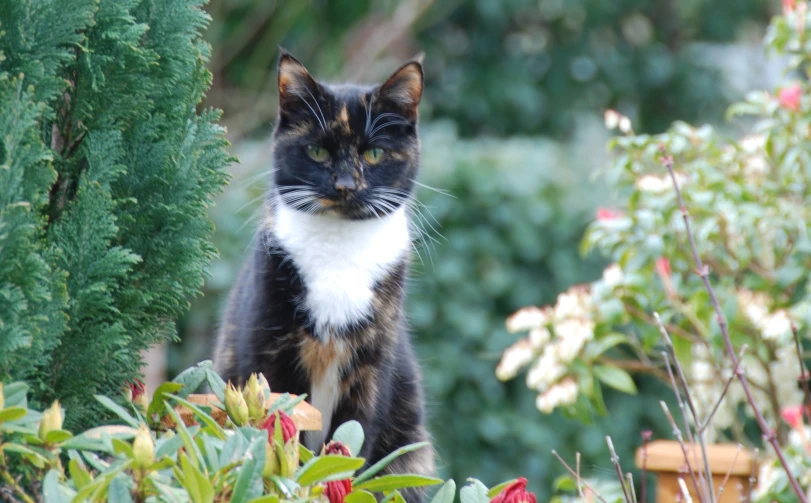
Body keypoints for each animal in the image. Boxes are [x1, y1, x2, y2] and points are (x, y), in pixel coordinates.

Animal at [213, 50, 434, 500]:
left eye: (374, 154)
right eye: (316, 151)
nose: (345, 184)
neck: (339, 251)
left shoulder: (371, 370)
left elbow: (356, 442)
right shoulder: (271, 355)